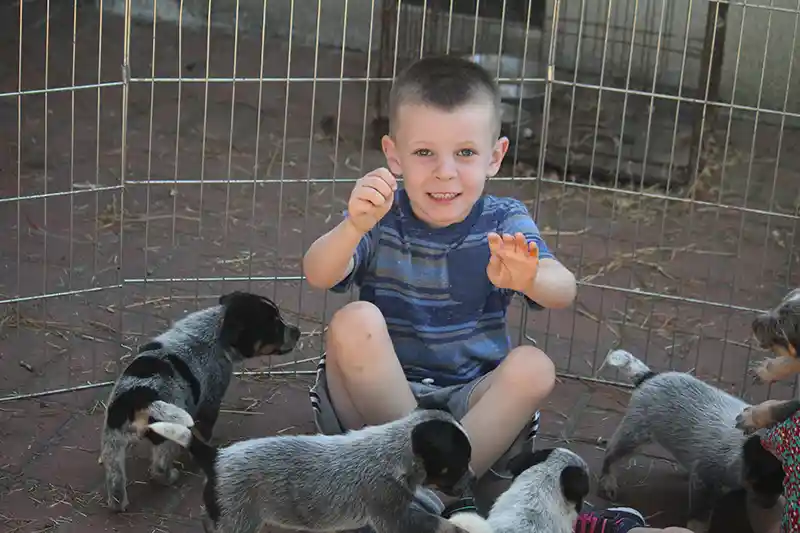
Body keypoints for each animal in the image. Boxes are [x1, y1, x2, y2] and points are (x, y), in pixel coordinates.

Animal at [99, 290, 300, 512]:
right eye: (274, 326)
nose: (298, 331)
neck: (216, 329)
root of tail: (140, 397)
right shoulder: (212, 398)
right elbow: (204, 430)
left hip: (112, 440)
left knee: (115, 478)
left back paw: (118, 503)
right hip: (166, 433)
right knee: (159, 467)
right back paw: (171, 477)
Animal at [145, 408, 476, 532]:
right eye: (457, 465)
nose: (472, 479)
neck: (394, 452)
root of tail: (217, 457)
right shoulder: (392, 515)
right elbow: (435, 523)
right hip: (239, 521)